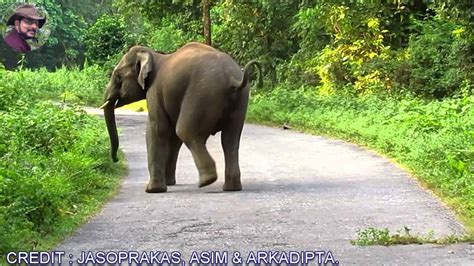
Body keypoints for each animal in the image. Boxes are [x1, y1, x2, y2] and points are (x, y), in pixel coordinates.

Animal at [100, 42, 262, 194]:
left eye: (118, 77)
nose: (116, 159)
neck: (155, 55)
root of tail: (232, 77)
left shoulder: (154, 91)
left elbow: (158, 129)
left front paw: (152, 190)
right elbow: (172, 136)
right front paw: (169, 183)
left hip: (201, 94)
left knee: (186, 132)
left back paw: (207, 181)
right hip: (240, 100)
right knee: (230, 140)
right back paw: (231, 188)